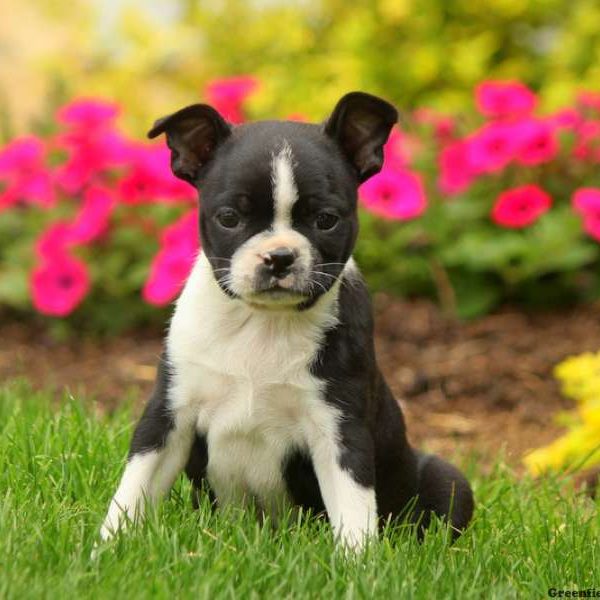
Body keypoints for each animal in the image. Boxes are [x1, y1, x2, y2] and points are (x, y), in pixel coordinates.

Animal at [98, 92, 474, 548]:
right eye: (229, 218)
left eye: (326, 220)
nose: (279, 256)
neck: (262, 323)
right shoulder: (169, 414)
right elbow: (134, 488)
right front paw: (106, 547)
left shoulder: (338, 429)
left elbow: (354, 509)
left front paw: (358, 561)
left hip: (447, 479)